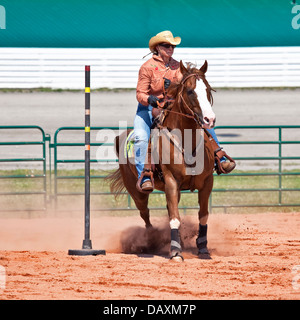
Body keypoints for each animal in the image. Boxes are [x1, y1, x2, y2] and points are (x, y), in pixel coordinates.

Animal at [106, 60, 214, 260]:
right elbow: (174, 219)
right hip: (137, 192)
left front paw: (203, 247)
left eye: (208, 89)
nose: (209, 119)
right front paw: (176, 252)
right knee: (145, 214)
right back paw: (152, 240)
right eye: (190, 91)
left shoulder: (207, 182)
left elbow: (203, 215)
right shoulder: (171, 181)